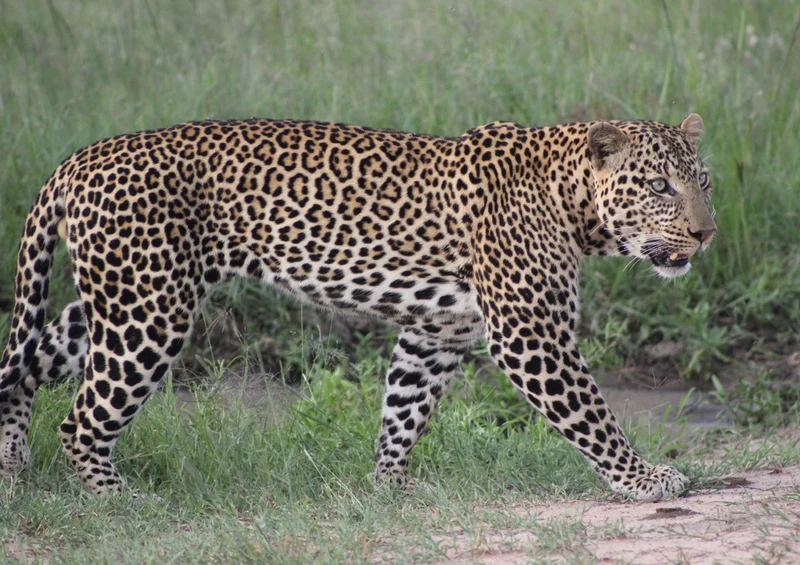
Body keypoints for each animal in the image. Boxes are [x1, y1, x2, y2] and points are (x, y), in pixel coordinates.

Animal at [0, 113, 715, 500]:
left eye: (702, 181)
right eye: (659, 186)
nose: (706, 233)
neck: (572, 202)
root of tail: (79, 159)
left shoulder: (437, 329)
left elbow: (404, 406)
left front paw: (390, 484)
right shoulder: (529, 334)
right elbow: (593, 416)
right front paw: (645, 479)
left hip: (118, 301)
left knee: (26, 365)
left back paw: (12, 468)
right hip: (146, 312)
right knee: (80, 420)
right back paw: (117, 501)